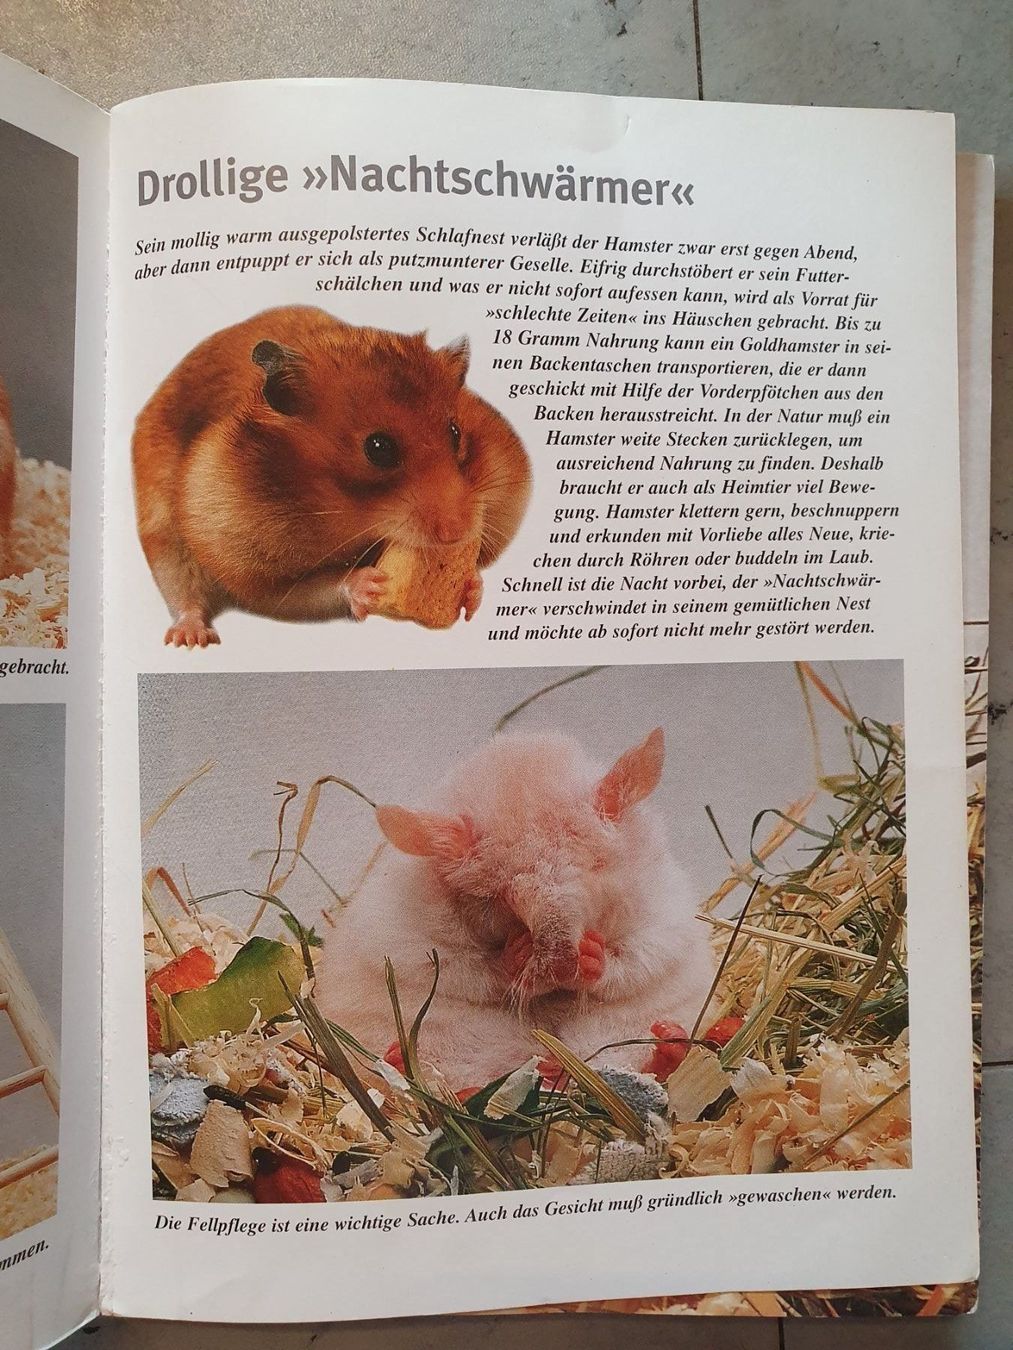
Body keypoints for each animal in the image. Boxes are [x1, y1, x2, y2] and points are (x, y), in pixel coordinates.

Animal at [132, 306, 532, 647]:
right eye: (378, 448)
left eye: (455, 433)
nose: (457, 533)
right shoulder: (253, 568)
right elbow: (310, 589)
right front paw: (370, 584)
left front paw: (471, 587)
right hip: (163, 533)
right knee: (183, 592)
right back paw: (190, 639)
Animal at [315, 728, 716, 1092]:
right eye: (497, 896)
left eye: (597, 866)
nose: (561, 966)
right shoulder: (419, 949)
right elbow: (471, 968)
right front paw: (519, 954)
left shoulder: (663, 921)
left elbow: (630, 958)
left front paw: (590, 954)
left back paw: (666, 1042)